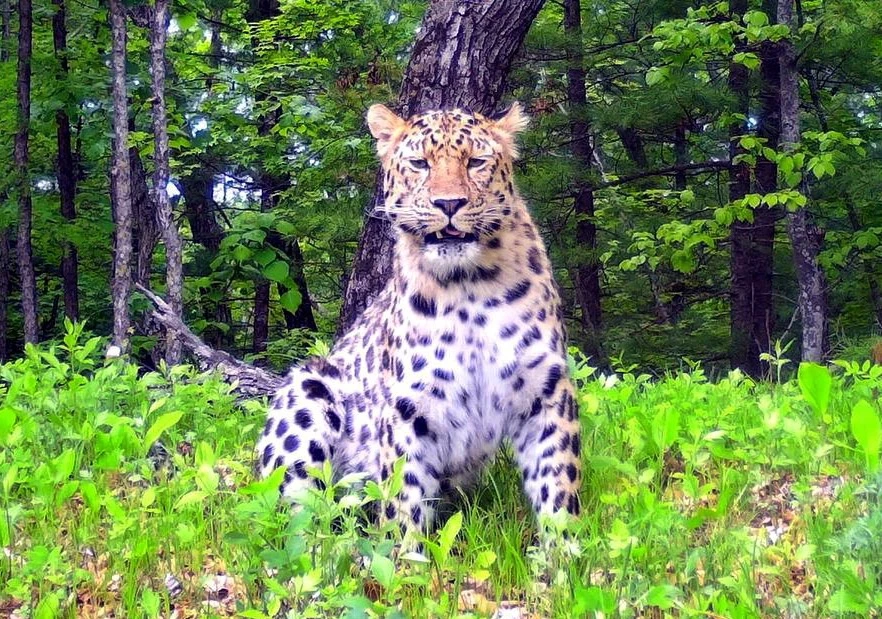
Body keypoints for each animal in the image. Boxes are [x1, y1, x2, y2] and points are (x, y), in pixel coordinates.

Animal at [256, 102, 582, 533]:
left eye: (476, 162)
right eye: (419, 163)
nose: (449, 203)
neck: (469, 286)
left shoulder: (545, 390)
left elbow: (558, 483)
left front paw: (565, 548)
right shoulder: (408, 408)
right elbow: (403, 499)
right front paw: (404, 550)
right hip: (308, 391)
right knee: (294, 517)